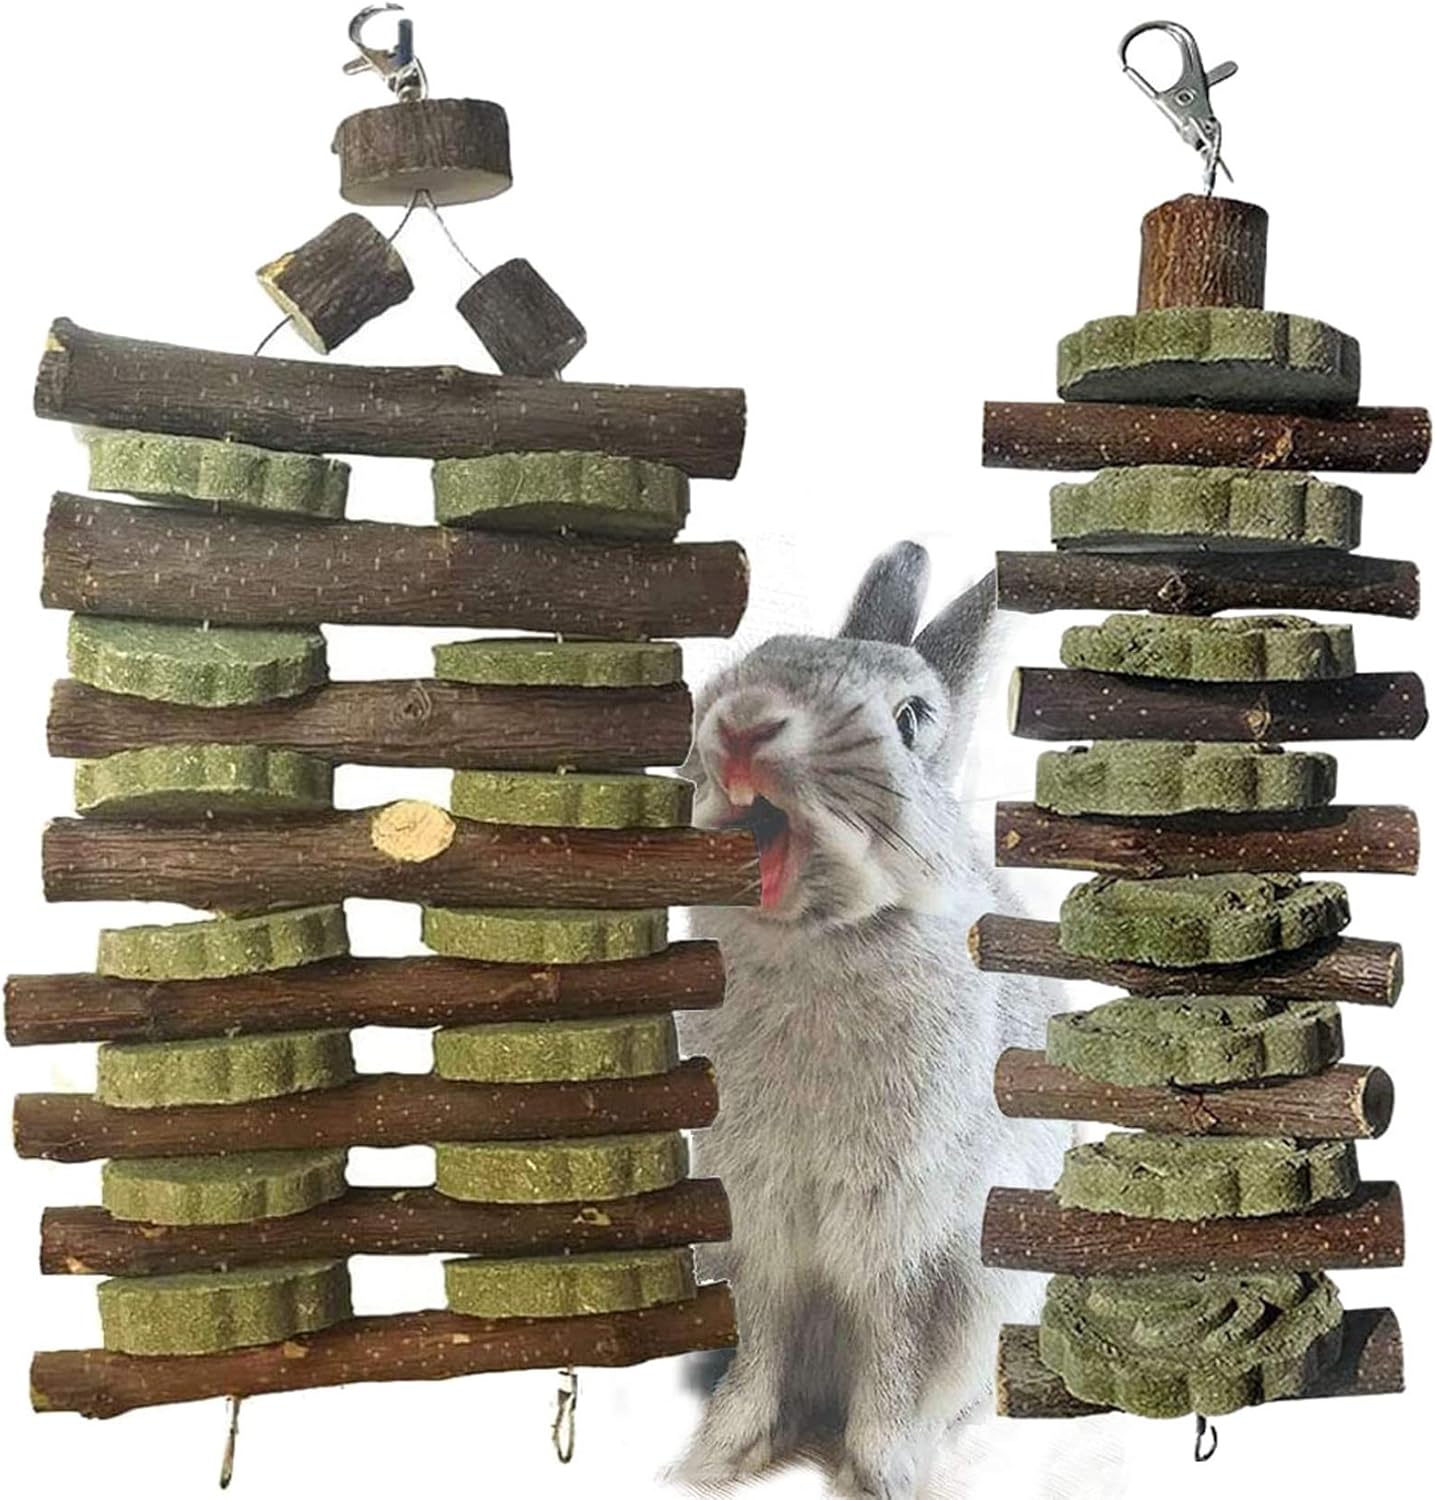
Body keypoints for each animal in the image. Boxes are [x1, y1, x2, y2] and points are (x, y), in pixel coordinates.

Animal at [672, 542, 1070, 1499]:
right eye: (754, 656)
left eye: (911, 718)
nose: (743, 724)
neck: (819, 943)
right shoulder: (757, 1226)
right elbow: (759, 1348)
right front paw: (710, 1463)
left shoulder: (910, 1238)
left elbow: (892, 1353)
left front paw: (882, 1475)